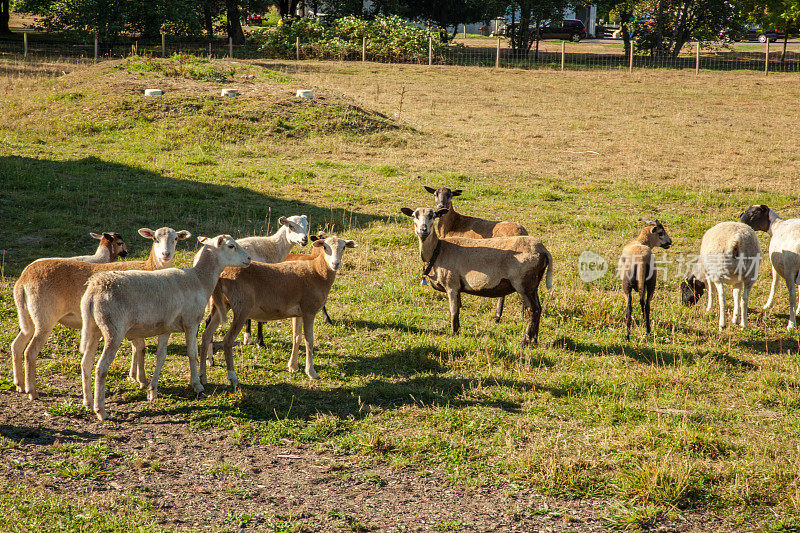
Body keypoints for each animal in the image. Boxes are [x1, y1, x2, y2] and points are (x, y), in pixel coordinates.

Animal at [11, 225, 190, 400]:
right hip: (45, 319)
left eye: (175, 239)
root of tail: (23, 280)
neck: (151, 268)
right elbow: (140, 348)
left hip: (30, 318)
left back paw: (19, 384)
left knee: (17, 345)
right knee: (30, 352)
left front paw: (135, 377)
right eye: (155, 238)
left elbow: (139, 348)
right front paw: (141, 379)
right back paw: (32, 391)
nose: (165, 254)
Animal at [202, 235, 358, 384]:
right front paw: (311, 372)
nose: (335, 264)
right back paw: (232, 377)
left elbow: (297, 337)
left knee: (206, 335)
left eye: (344, 247)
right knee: (227, 341)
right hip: (242, 308)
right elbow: (309, 340)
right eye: (325, 247)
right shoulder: (309, 310)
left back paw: (203, 375)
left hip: (221, 305)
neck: (318, 272)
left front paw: (293, 366)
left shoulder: (298, 313)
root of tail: (223, 275)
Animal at [400, 204, 552, 344]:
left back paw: (525, 341)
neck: (438, 250)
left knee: (533, 310)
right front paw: (457, 331)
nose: (423, 230)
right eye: (414, 215)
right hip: (533, 285)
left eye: (433, 215)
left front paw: (454, 334)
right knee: (538, 309)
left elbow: (453, 311)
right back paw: (534, 340)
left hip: (523, 283)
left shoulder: (452, 285)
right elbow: (457, 309)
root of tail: (543, 250)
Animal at [422, 185, 528, 322]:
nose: (441, 206)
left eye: (450, 195)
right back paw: (522, 315)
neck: (453, 224)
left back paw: (498, 316)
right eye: (435, 194)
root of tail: (523, 232)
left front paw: (459, 304)